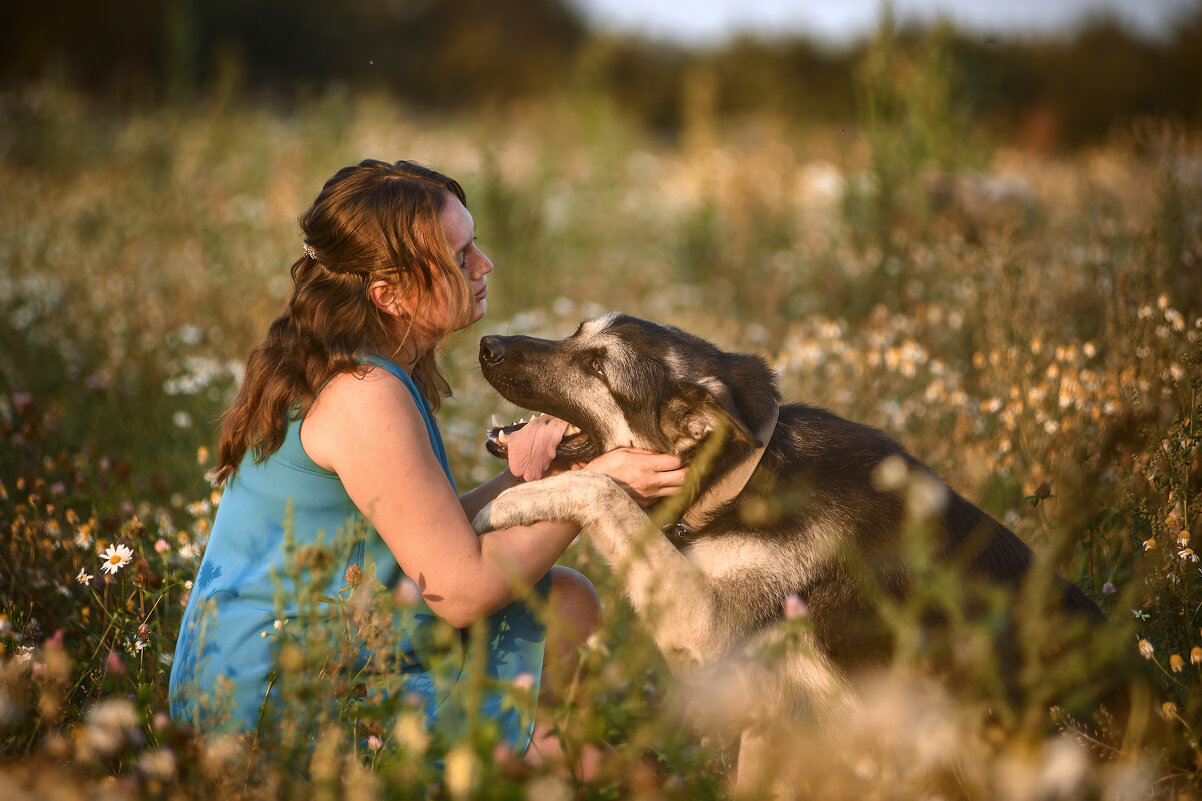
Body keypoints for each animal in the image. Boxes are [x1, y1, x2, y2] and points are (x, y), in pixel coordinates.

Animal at [468, 312, 1115, 784]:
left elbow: (601, 488)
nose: (487, 344)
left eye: (596, 365)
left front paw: (506, 505)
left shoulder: (715, 633)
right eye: (577, 333)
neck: (744, 477)